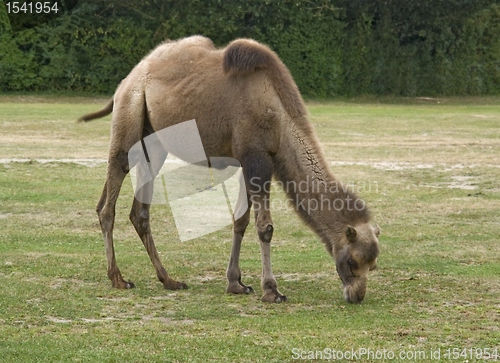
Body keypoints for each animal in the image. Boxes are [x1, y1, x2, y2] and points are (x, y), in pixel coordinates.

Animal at [80, 36, 380, 304]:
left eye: (373, 265)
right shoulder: (256, 157)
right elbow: (265, 227)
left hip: (153, 143)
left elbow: (241, 220)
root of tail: (128, 79)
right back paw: (118, 279)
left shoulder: (252, 161)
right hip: (130, 112)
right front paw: (272, 291)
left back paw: (169, 280)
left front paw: (236, 283)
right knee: (110, 196)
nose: (357, 297)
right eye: (352, 261)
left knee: (138, 212)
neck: (279, 116)